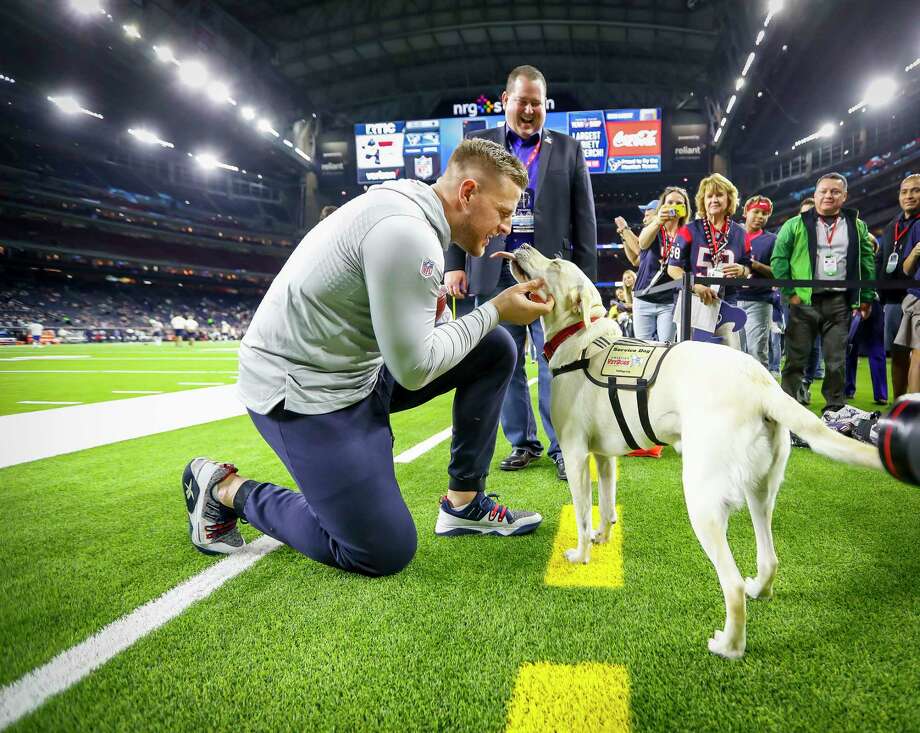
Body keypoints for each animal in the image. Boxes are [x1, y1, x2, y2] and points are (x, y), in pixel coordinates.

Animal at [496, 244, 884, 656]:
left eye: (555, 264)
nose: (521, 245)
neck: (581, 338)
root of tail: (762, 383)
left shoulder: (574, 454)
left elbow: (584, 515)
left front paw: (582, 554)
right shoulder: (604, 458)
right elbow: (607, 502)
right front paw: (603, 537)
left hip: (702, 501)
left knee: (731, 585)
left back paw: (729, 645)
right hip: (760, 492)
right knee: (770, 559)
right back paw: (759, 589)